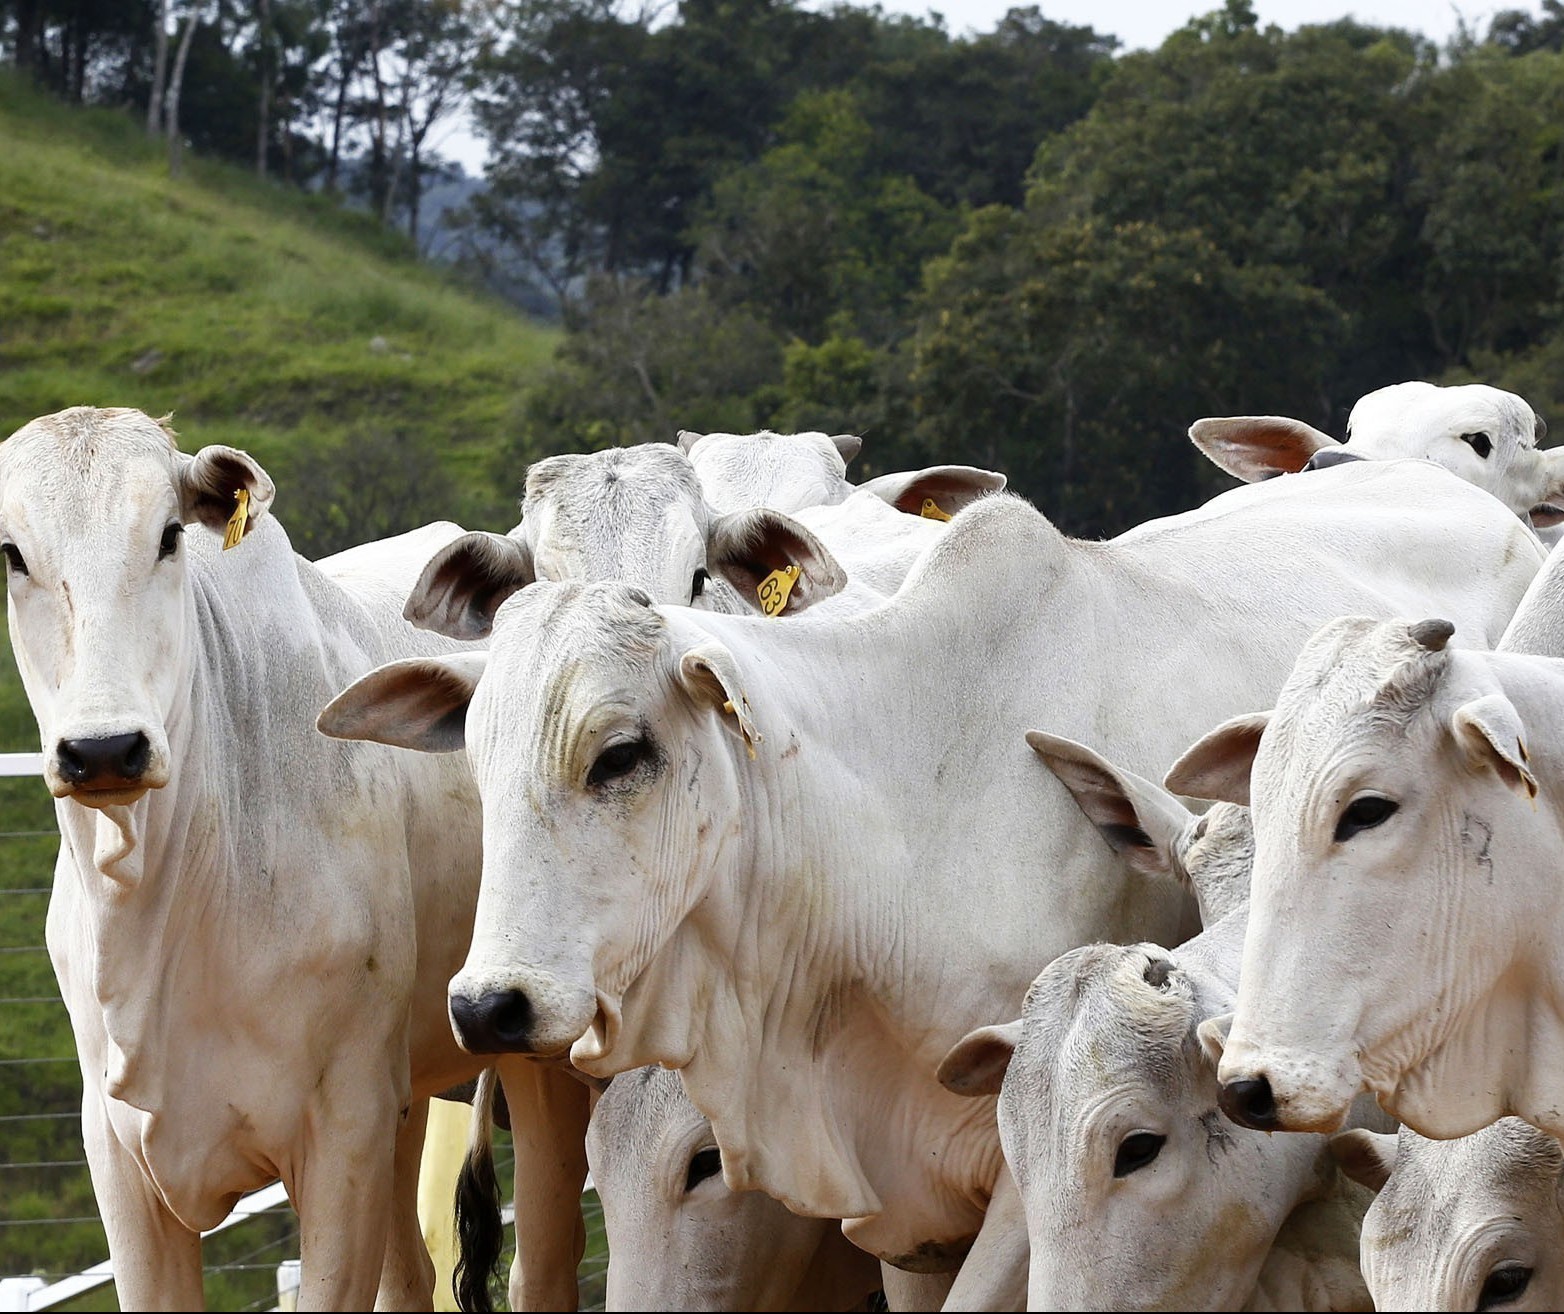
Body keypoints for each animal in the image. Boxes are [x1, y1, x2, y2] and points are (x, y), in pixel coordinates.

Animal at [1, 406, 588, 1307]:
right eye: (11, 553)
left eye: (169, 534)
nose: (103, 751)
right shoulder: (121, 1162)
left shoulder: (342, 1136)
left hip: (533, 1067)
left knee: (544, 1263)